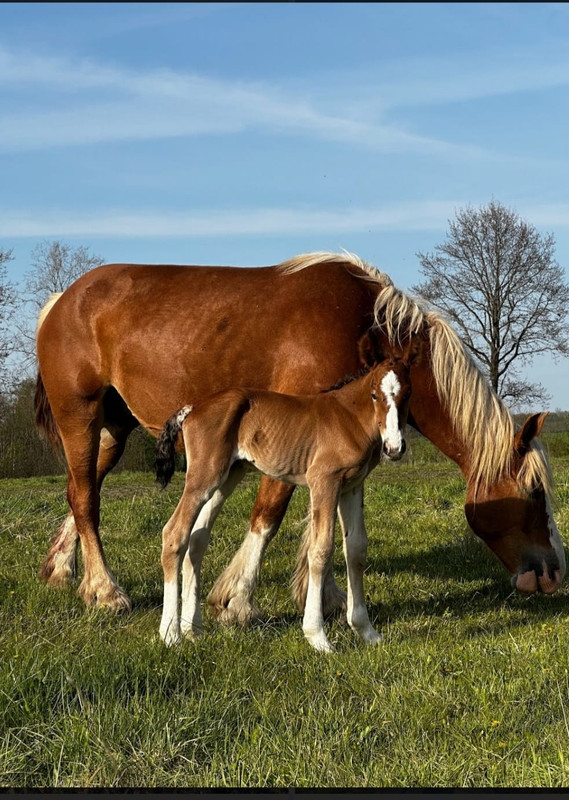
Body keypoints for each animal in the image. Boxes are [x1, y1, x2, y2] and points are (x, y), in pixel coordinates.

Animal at [154, 343, 418, 652]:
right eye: (375, 394)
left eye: (408, 393)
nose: (394, 448)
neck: (350, 418)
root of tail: (193, 408)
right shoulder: (324, 481)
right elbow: (321, 549)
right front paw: (318, 637)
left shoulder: (352, 486)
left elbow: (356, 550)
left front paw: (367, 631)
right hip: (203, 477)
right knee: (174, 534)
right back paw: (170, 634)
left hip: (227, 476)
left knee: (197, 540)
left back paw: (192, 629)